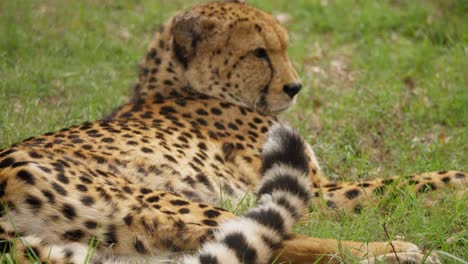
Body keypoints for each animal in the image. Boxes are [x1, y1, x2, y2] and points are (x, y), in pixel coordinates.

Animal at [0, 0, 462, 264]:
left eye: (284, 47)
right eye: (259, 52)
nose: (295, 87)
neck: (179, 83)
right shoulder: (309, 188)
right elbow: (398, 182)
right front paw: (458, 184)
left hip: (125, 234)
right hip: (156, 202)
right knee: (278, 239)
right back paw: (396, 252)